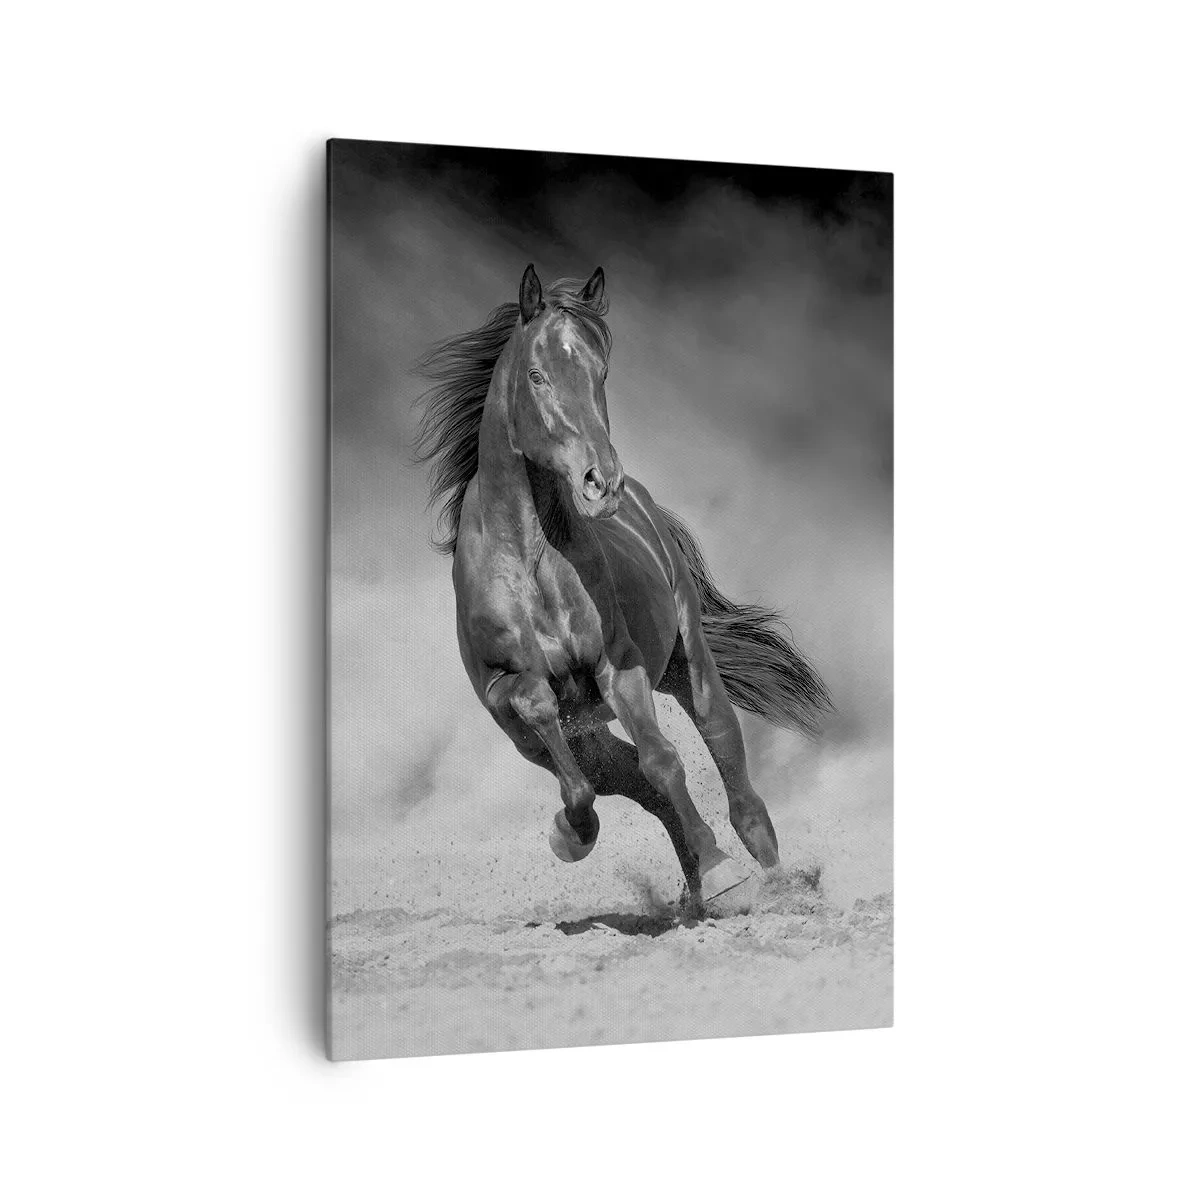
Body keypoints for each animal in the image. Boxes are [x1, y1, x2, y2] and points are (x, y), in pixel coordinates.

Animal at [414, 264, 831, 908]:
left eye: (600, 372)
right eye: (537, 375)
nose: (601, 482)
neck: (532, 562)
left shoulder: (618, 665)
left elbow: (664, 762)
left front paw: (722, 871)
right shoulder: (507, 695)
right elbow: (572, 750)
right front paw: (571, 834)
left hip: (688, 663)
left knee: (722, 748)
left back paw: (768, 874)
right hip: (563, 737)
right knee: (626, 781)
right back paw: (685, 883)